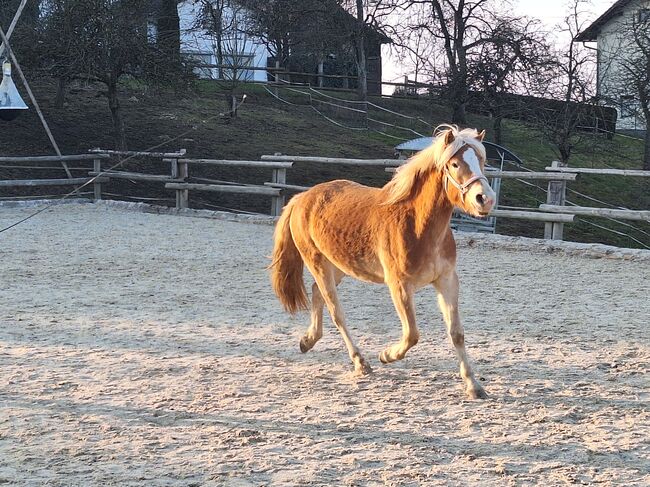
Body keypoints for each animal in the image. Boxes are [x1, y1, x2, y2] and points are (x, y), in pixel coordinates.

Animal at [268, 126, 496, 400]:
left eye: (481, 161)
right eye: (454, 164)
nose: (485, 199)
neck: (417, 225)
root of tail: (301, 198)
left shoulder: (447, 280)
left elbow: (457, 333)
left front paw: (474, 385)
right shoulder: (399, 285)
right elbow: (412, 335)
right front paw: (386, 355)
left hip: (338, 266)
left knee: (316, 293)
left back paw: (308, 340)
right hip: (317, 262)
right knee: (336, 312)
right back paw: (360, 362)